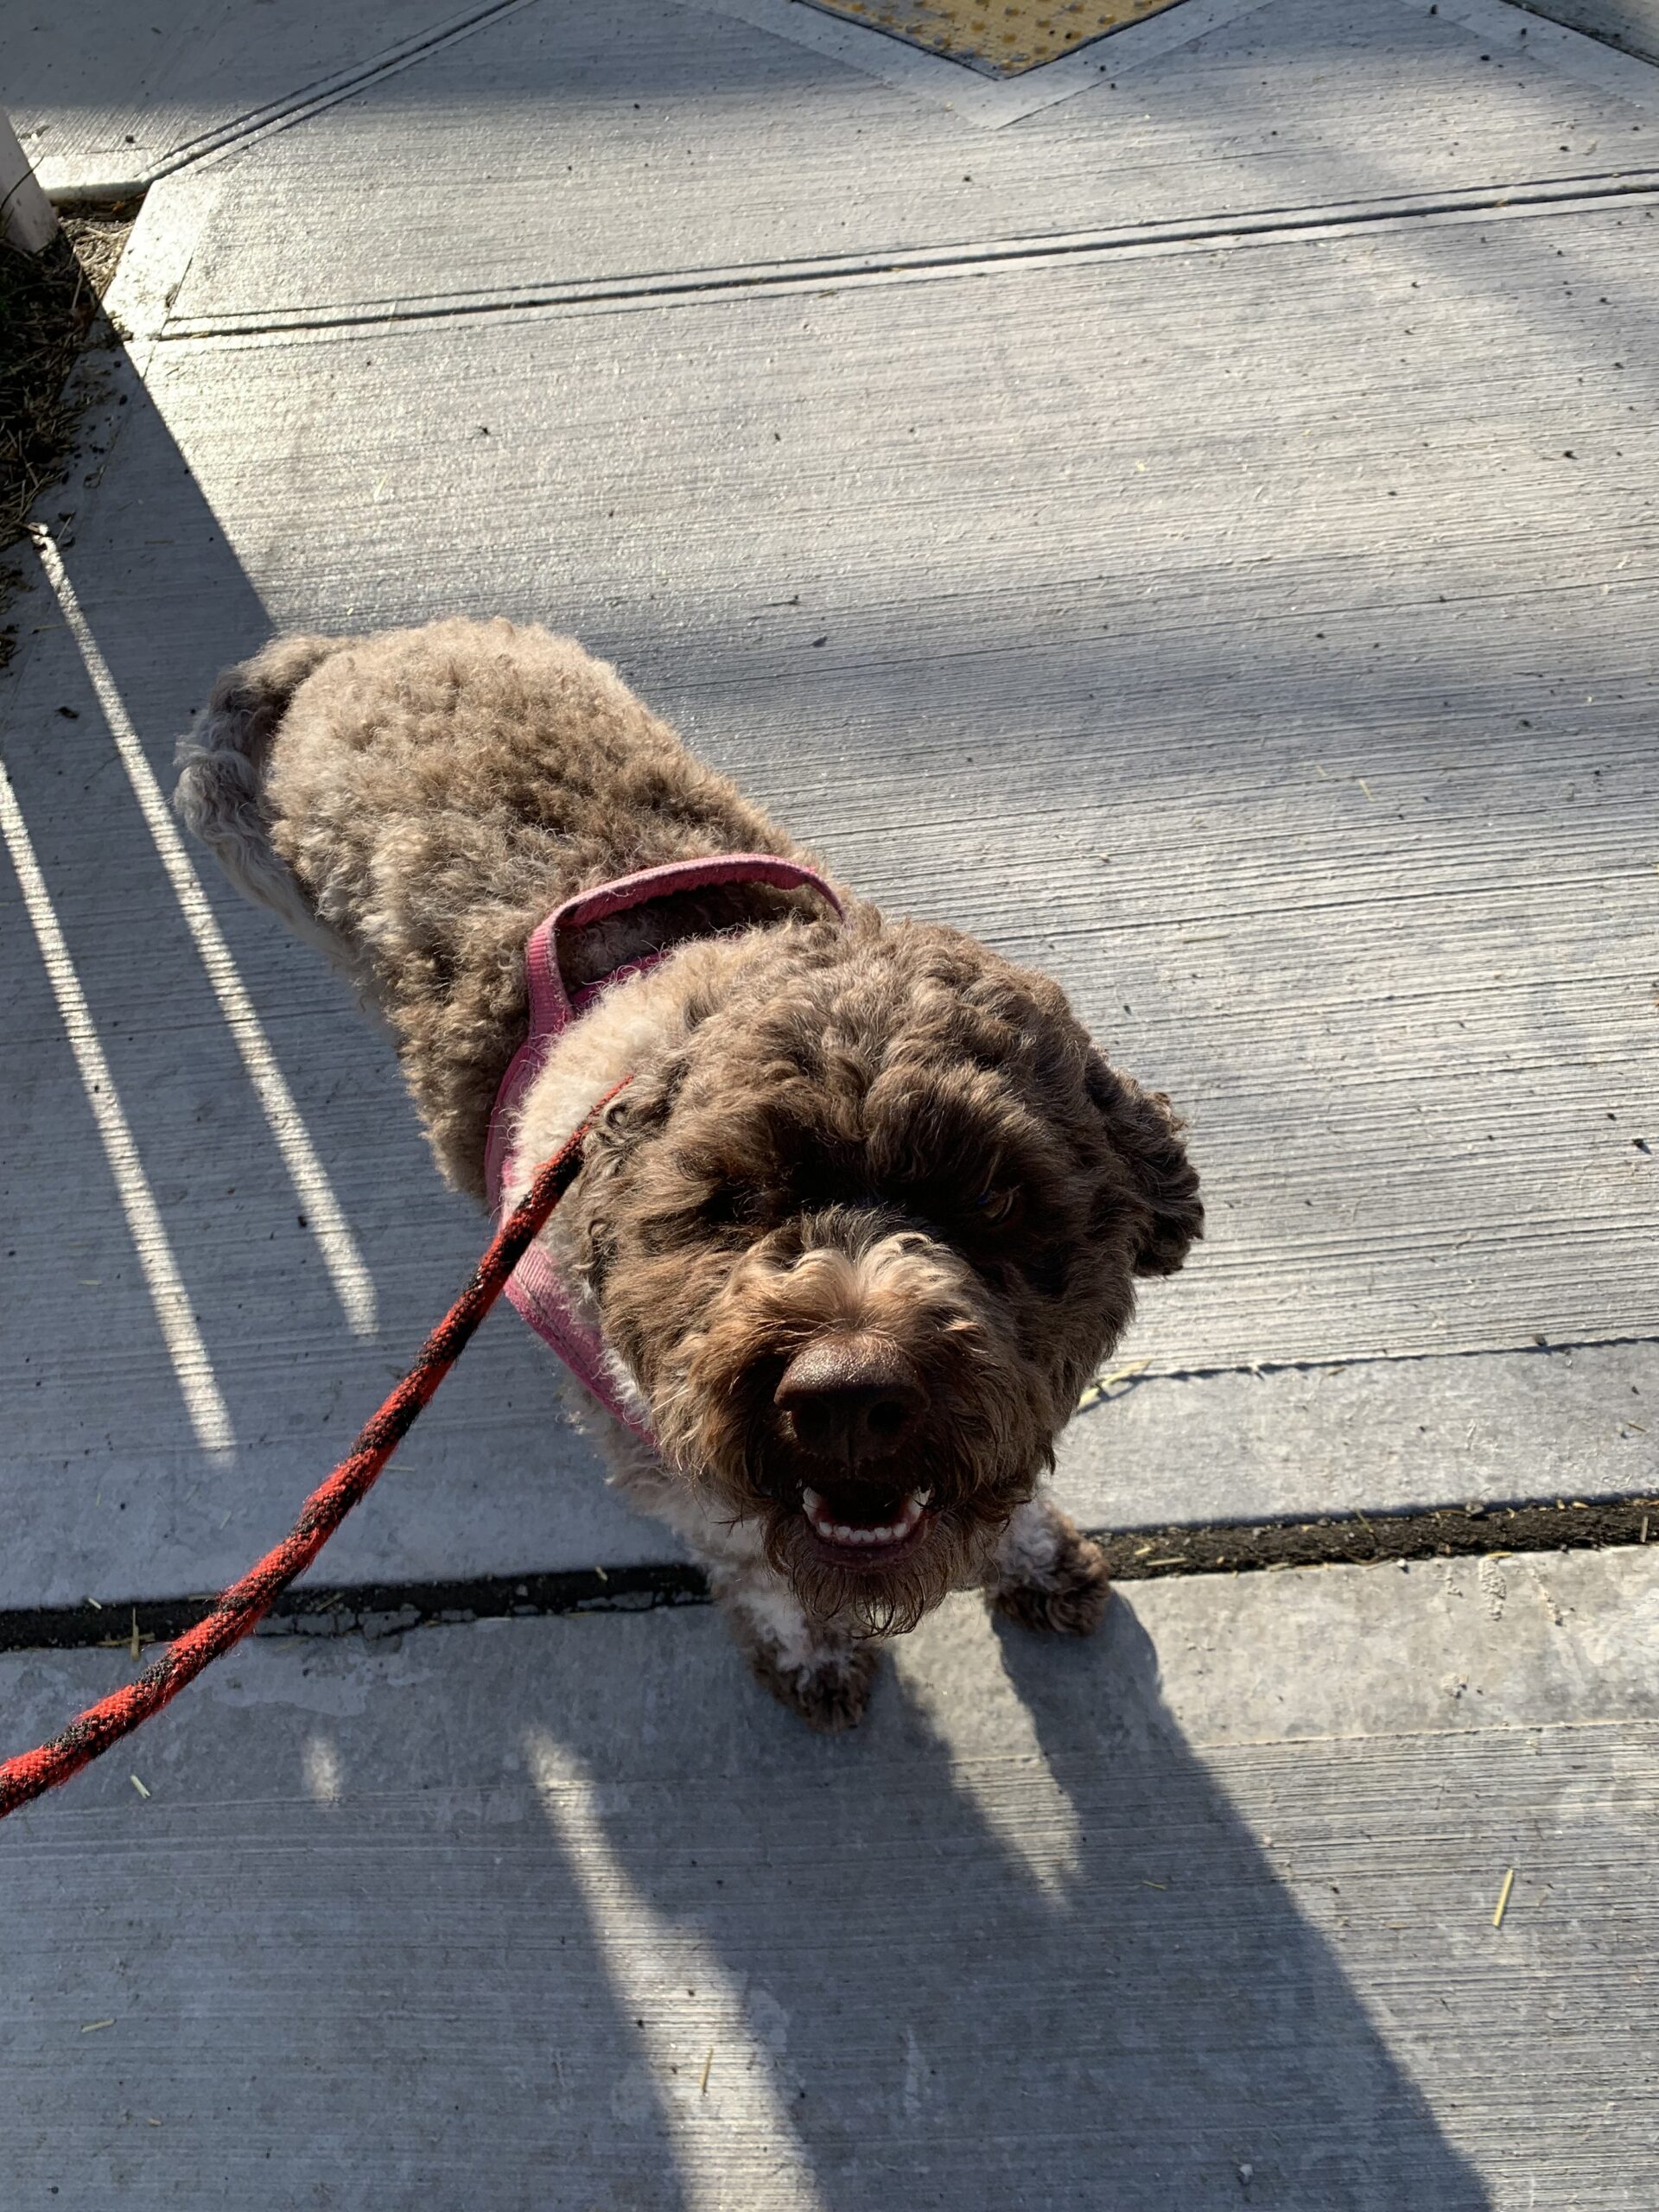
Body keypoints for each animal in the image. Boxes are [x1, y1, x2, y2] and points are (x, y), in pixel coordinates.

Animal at [175, 619, 1203, 1725]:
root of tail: (346, 647)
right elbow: (755, 1562)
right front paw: (811, 1654)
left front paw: (1030, 1555)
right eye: (733, 1202)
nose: (848, 1400)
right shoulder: (673, 1463)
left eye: (993, 1197)